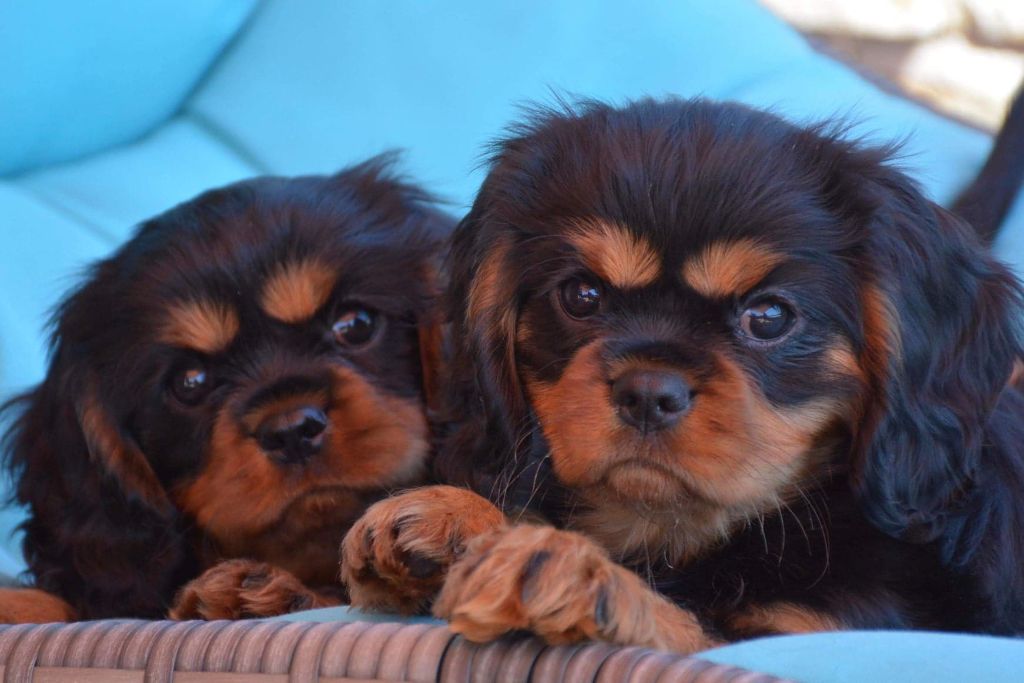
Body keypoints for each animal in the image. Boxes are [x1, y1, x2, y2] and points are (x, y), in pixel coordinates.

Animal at [342, 97, 1024, 651]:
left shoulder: (820, 633)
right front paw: (453, 519)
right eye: (582, 295)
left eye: (769, 316)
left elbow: (687, 624)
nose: (648, 392)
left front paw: (571, 571)